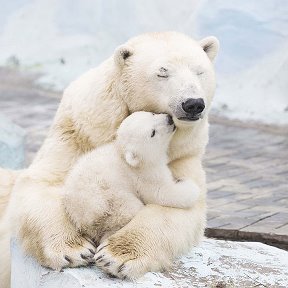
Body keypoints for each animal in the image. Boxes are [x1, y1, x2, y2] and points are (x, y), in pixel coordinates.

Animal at [0, 31, 218, 284]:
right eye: (162, 72)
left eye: (199, 71)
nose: (193, 104)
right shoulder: (78, 133)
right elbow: (45, 183)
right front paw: (74, 249)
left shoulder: (183, 154)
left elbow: (178, 207)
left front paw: (117, 256)